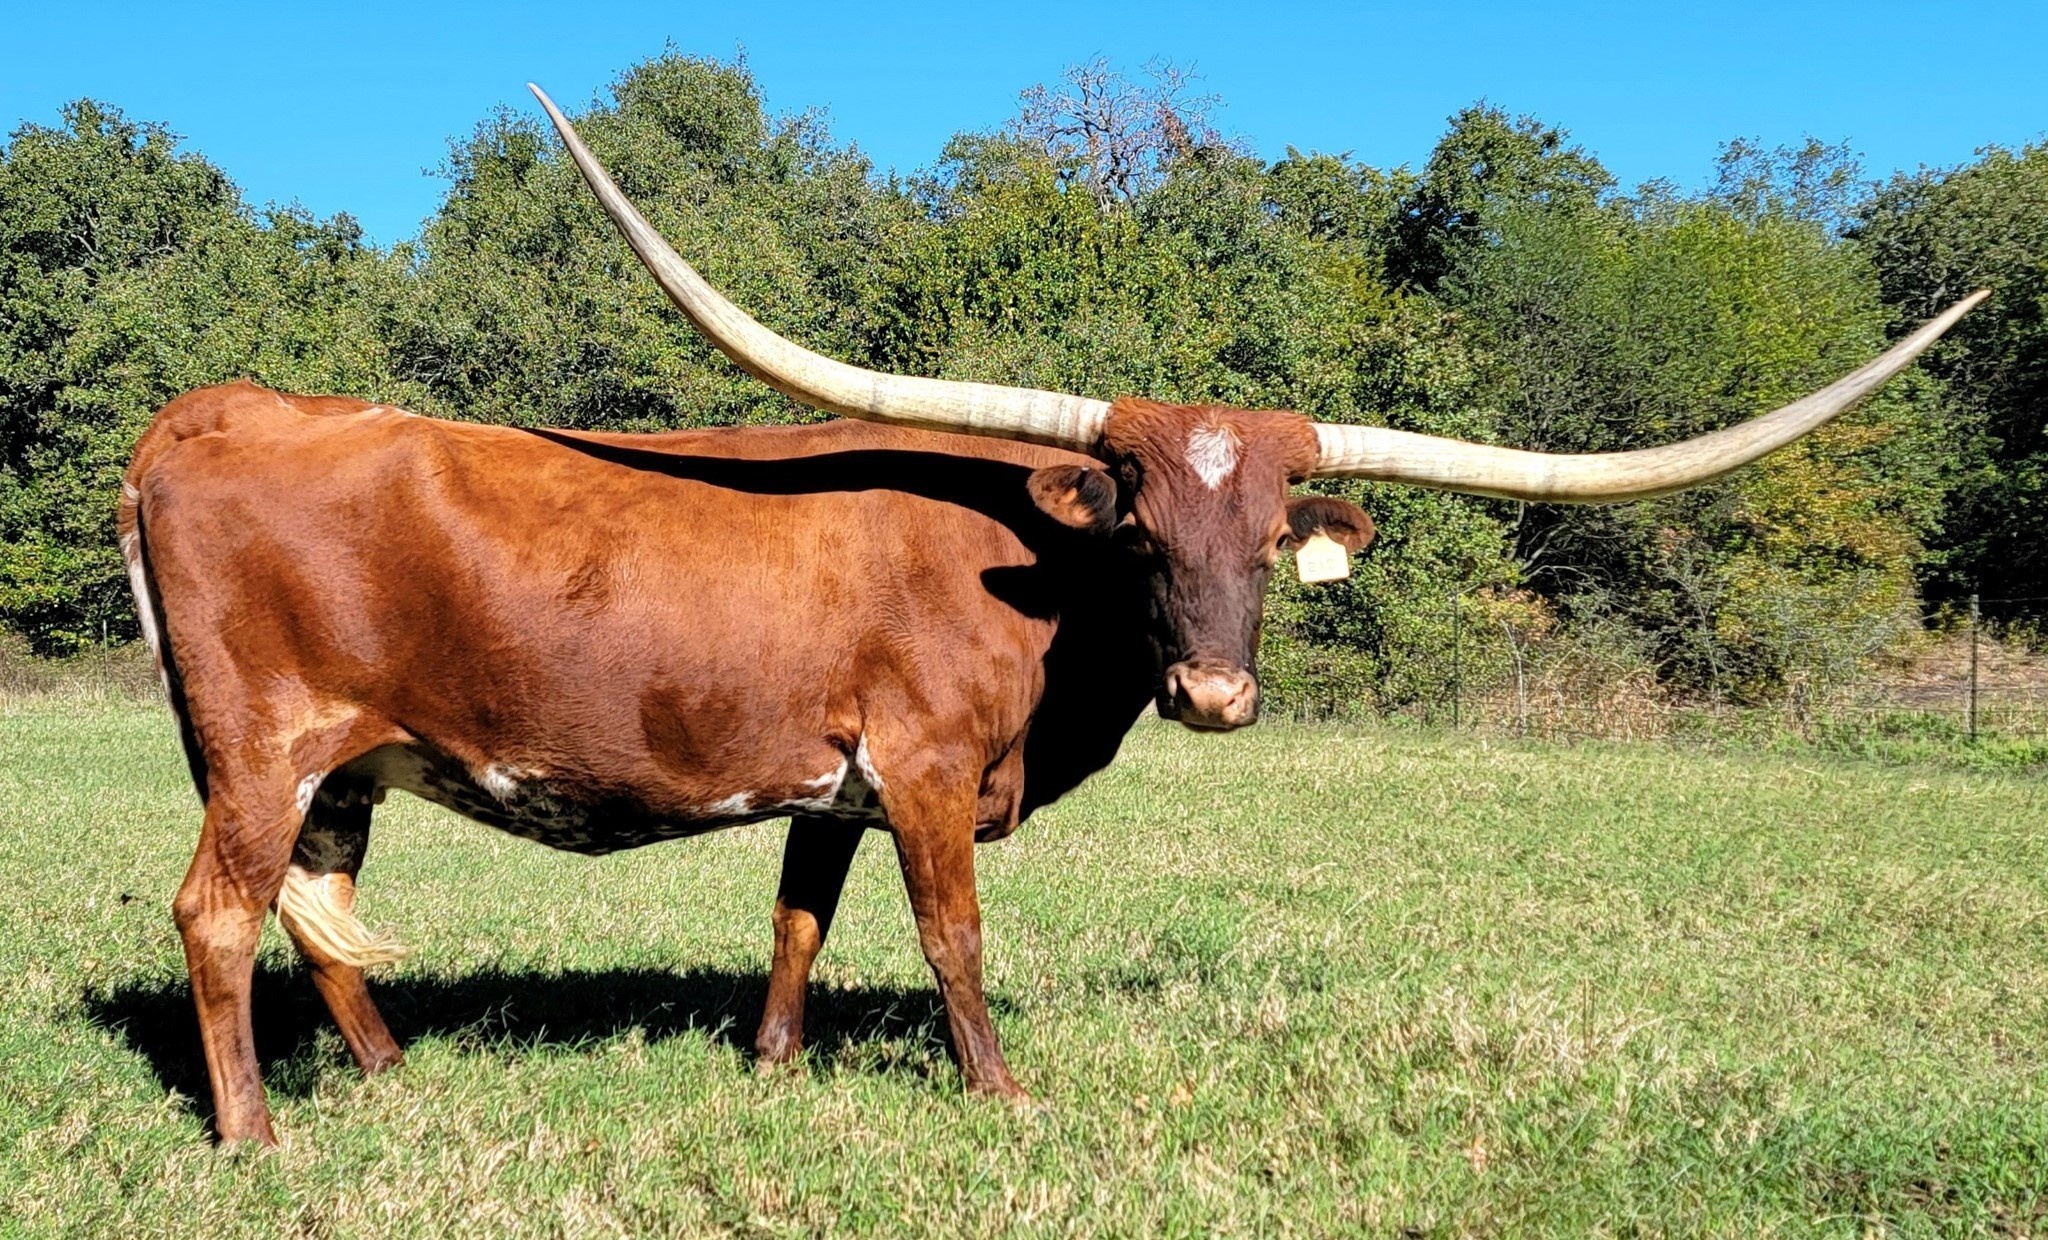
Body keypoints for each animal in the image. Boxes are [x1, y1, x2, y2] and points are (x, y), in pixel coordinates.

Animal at [116, 84, 1982, 1139]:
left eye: (1269, 542)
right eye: (1142, 531)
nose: (1219, 696)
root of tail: (209, 413)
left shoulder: (833, 780)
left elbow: (797, 922)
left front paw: (776, 1070)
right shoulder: (932, 767)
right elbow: (951, 935)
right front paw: (1000, 1094)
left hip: (347, 763)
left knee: (314, 918)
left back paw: (384, 1079)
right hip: (262, 744)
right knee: (218, 916)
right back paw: (254, 1137)